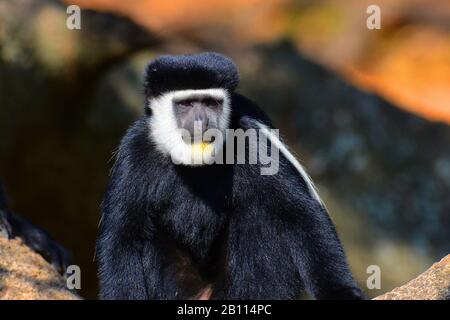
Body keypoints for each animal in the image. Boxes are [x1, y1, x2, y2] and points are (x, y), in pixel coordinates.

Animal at [98, 52, 366, 300]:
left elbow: (302, 215)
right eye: (186, 104)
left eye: (210, 104)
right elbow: (123, 239)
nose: (201, 122)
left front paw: (343, 292)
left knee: (261, 215)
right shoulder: (134, 152)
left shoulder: (252, 142)